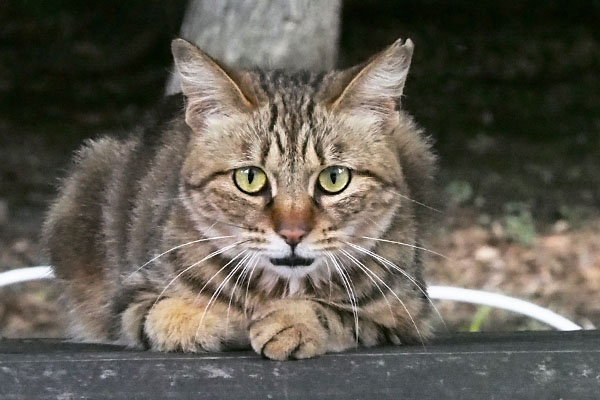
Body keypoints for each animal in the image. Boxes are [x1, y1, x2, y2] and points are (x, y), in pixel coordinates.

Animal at [42, 37, 436, 360]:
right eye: (249, 178)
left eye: (334, 178)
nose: (293, 234)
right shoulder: (127, 300)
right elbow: (163, 313)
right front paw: (215, 320)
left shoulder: (408, 316)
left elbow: (342, 315)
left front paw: (295, 320)